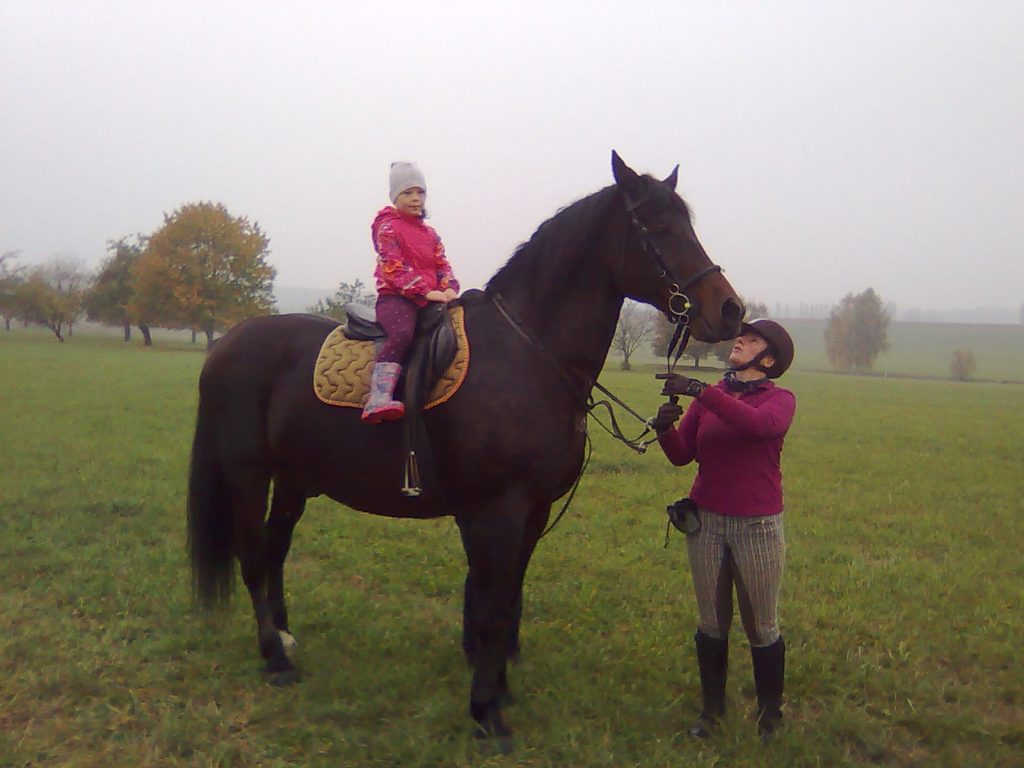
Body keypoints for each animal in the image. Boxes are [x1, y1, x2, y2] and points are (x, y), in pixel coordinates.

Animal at [186, 151, 744, 742]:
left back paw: (286, 637)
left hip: (295, 480)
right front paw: (486, 712)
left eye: (688, 223)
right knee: (252, 557)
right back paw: (275, 657)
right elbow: (493, 605)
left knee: (275, 551)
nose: (730, 310)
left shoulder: (531, 510)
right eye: (659, 228)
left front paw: (497, 690)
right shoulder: (496, 508)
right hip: (247, 475)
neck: (529, 355)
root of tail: (227, 343)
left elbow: (506, 598)